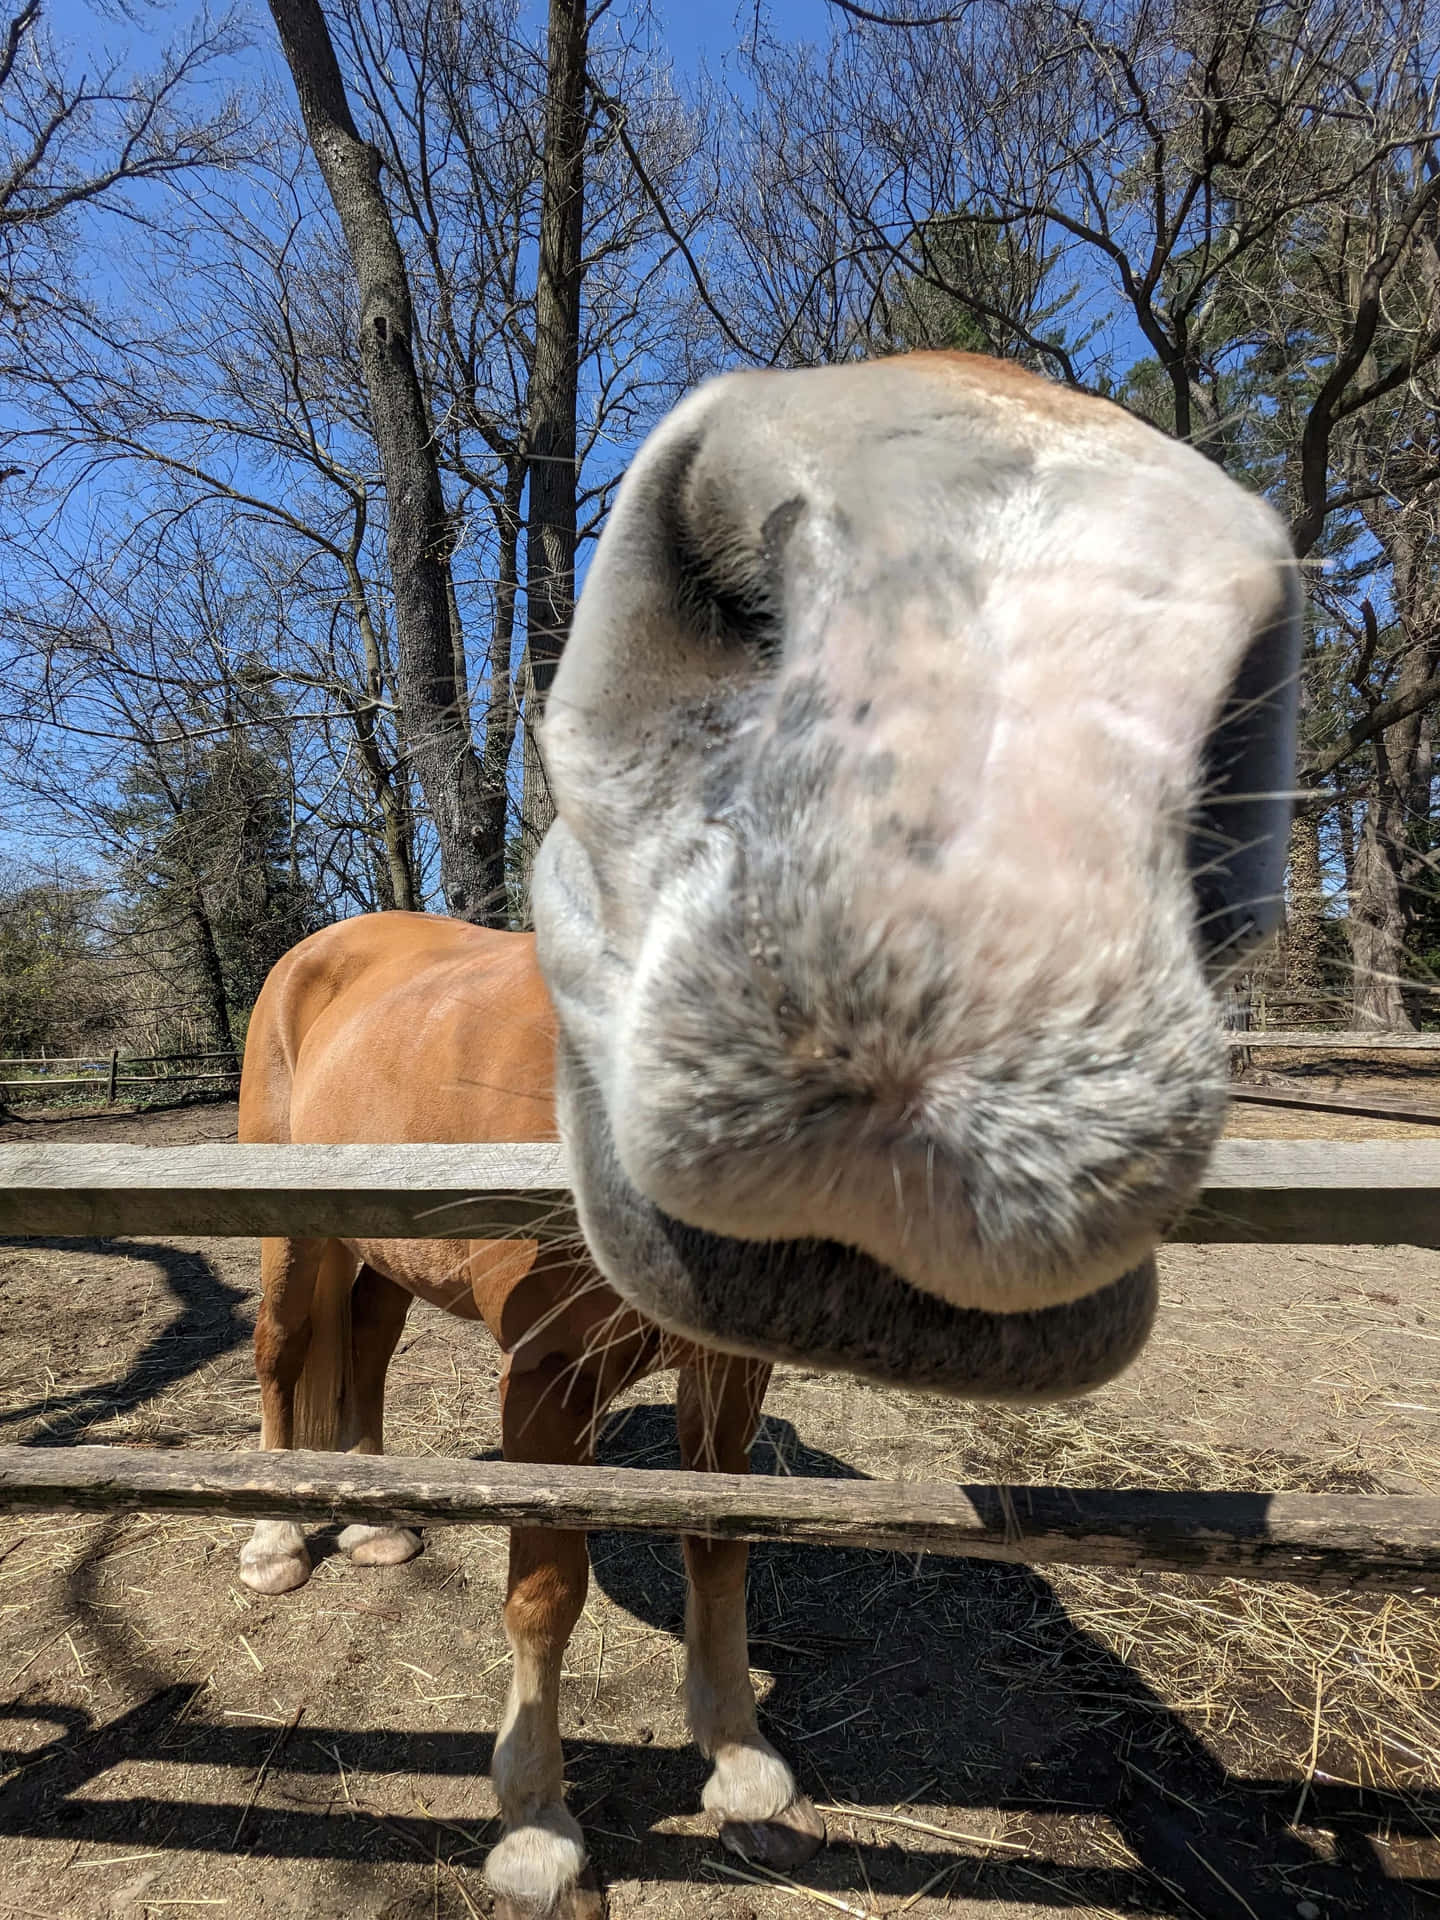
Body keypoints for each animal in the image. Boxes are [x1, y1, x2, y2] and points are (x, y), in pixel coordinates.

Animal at [237, 910, 821, 1920]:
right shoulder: (545, 1383)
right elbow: (546, 1596)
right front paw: (537, 1835)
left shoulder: (729, 1369)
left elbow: (718, 1549)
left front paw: (744, 1770)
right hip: (292, 1233)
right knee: (281, 1355)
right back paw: (275, 1543)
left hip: (385, 1250)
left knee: (368, 1349)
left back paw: (377, 1524)